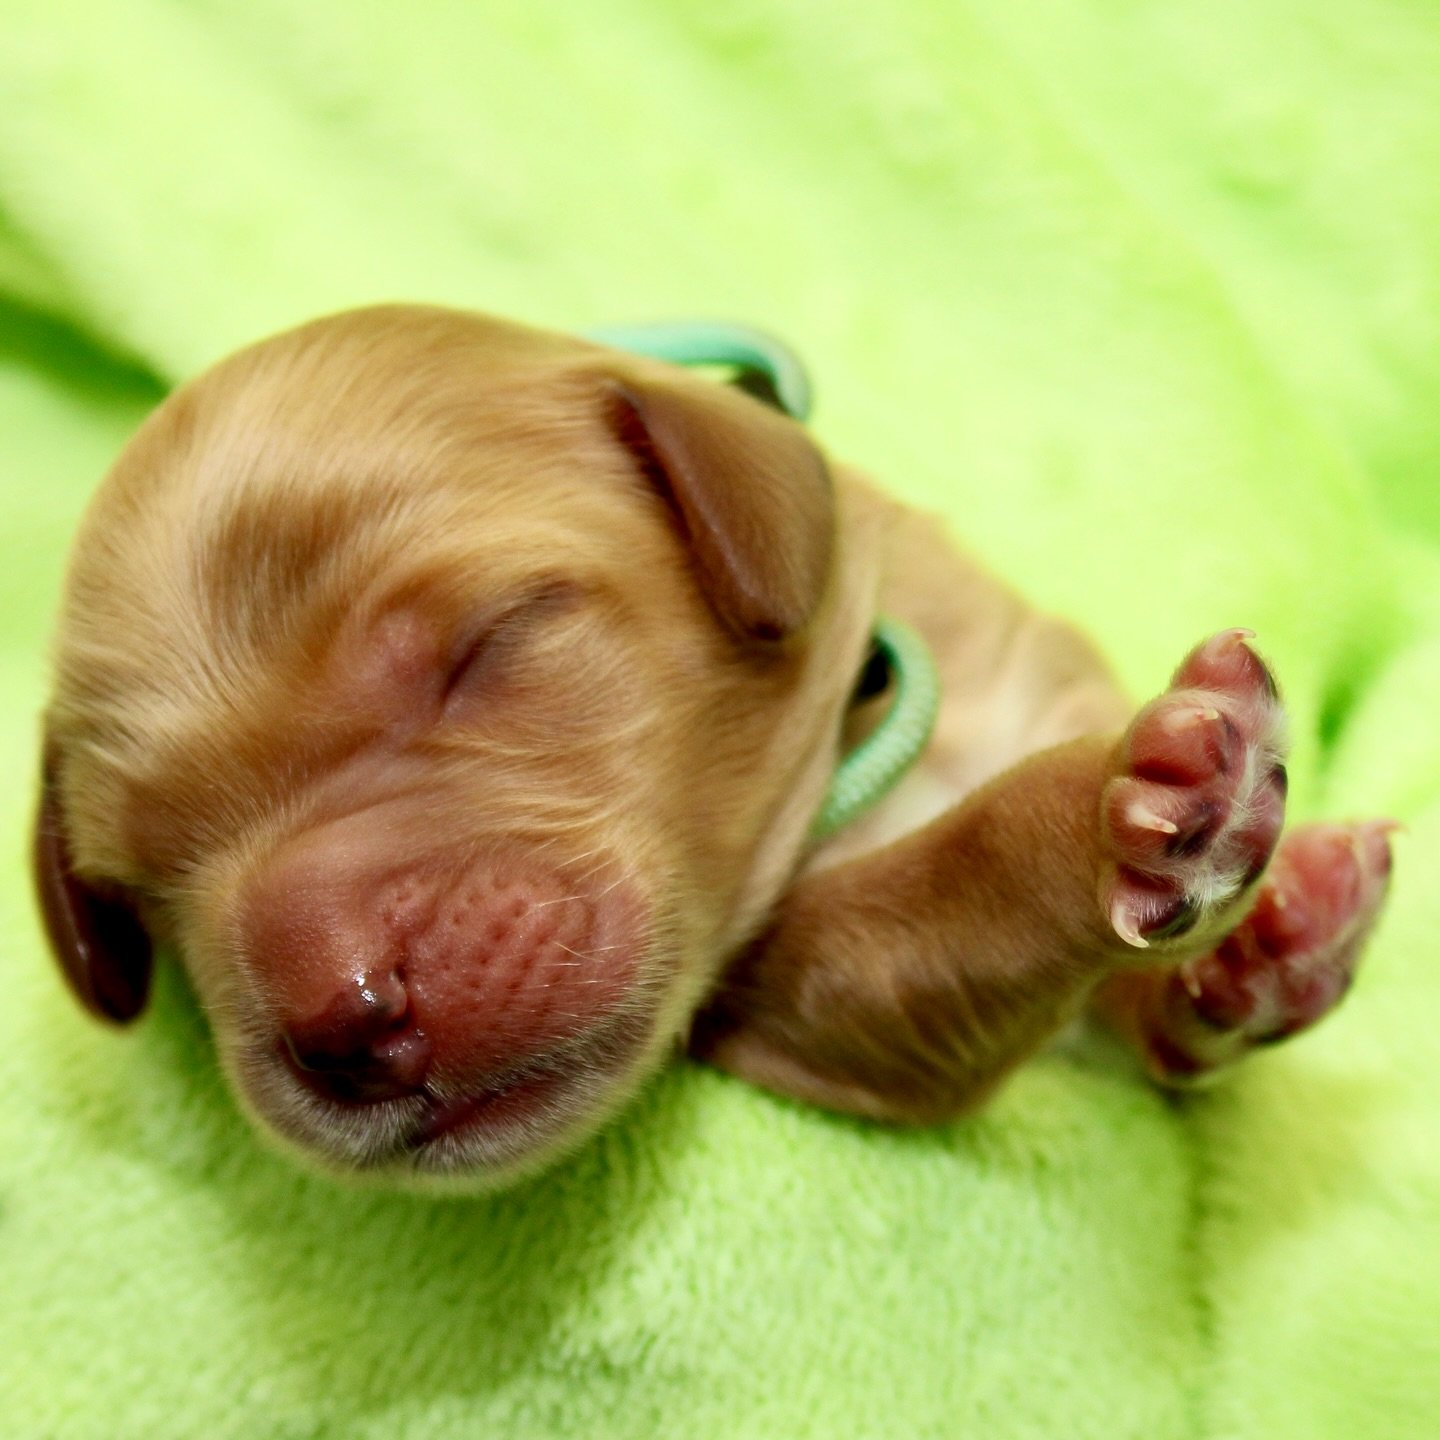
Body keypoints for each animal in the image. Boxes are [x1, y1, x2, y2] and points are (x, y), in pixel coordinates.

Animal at [33, 305, 1395, 1188]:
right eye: (144, 884)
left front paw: (1254, 953)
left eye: (489, 644)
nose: (344, 1017)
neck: (879, 721)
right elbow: (948, 882)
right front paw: (1116, 809)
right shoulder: (820, 1000)